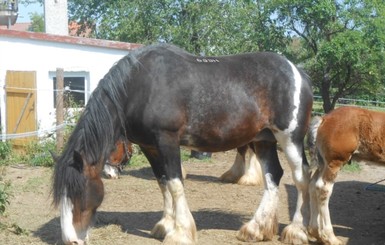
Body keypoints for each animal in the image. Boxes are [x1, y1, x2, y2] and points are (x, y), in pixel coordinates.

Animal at [52, 43, 314, 244]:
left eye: (78, 192)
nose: (70, 239)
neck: (140, 86)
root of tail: (298, 72)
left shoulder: (167, 140)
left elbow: (175, 183)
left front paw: (180, 233)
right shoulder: (150, 146)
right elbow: (163, 182)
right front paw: (165, 226)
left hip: (289, 138)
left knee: (301, 178)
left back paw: (296, 231)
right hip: (264, 140)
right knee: (273, 176)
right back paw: (256, 229)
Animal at [306, 106, 385, 245]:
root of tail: (325, 118)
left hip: (323, 163)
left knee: (313, 185)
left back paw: (316, 233)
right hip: (334, 162)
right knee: (323, 189)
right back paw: (330, 237)